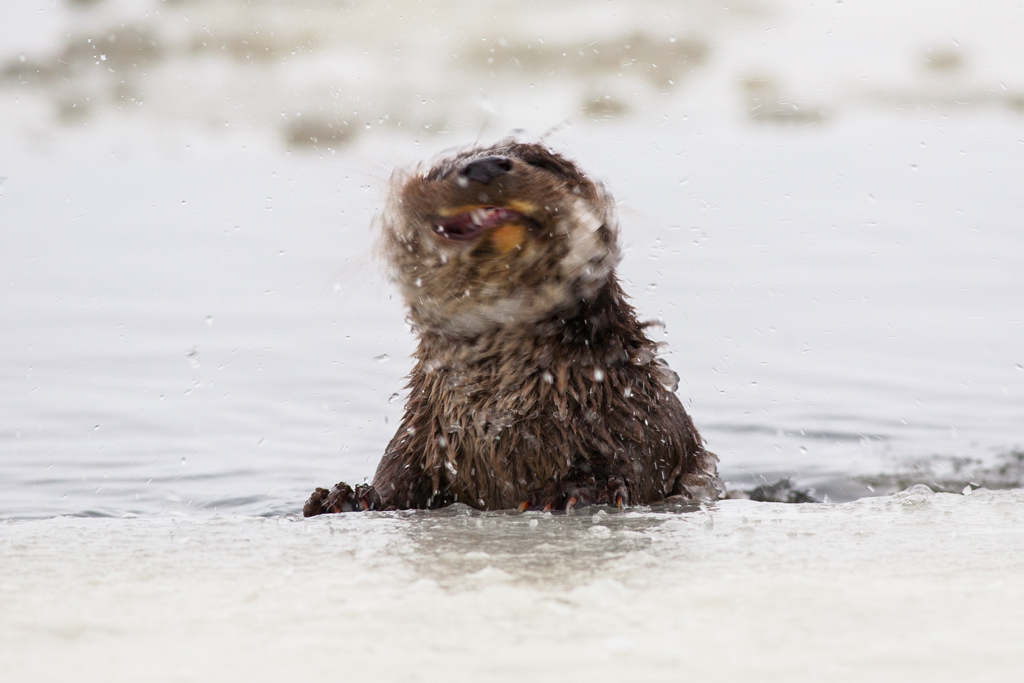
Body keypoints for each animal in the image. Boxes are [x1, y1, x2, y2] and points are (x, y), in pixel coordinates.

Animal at [303, 141, 721, 516]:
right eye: (440, 171)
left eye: (540, 162)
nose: (484, 166)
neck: (501, 413)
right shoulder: (420, 432)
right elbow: (396, 474)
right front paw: (348, 497)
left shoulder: (648, 413)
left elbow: (644, 459)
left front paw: (576, 489)